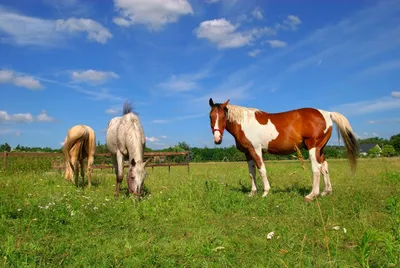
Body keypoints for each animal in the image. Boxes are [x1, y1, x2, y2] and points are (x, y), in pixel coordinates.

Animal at [208, 98, 358, 201]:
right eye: (211, 116)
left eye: (223, 116)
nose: (217, 139)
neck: (245, 123)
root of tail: (327, 113)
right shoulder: (248, 153)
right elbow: (252, 173)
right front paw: (252, 193)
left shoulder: (256, 150)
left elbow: (261, 170)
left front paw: (265, 192)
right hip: (320, 149)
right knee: (324, 168)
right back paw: (326, 191)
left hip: (313, 147)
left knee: (316, 169)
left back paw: (311, 195)